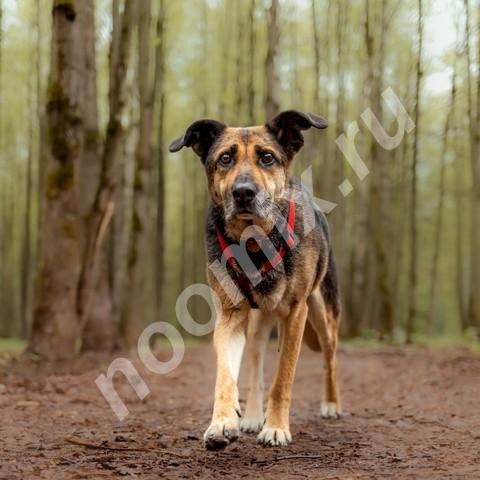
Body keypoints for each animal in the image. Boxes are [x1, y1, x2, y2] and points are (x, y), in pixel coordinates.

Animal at [169, 109, 342, 450]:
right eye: (225, 158)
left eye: (267, 157)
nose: (243, 192)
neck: (254, 242)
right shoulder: (230, 315)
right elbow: (226, 375)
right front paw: (223, 421)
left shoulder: (297, 313)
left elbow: (283, 378)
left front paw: (275, 427)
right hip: (258, 325)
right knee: (256, 365)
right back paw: (250, 416)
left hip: (322, 314)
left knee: (330, 357)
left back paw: (331, 404)